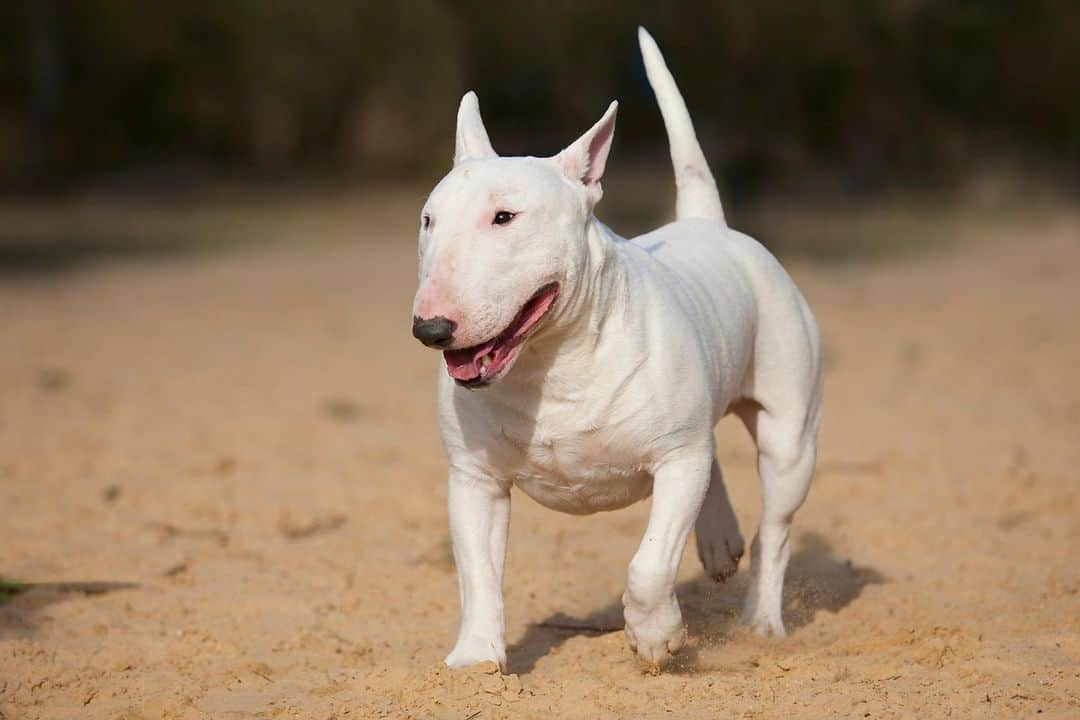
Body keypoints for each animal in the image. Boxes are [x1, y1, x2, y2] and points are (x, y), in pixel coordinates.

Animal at [408, 26, 820, 669]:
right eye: (428, 220)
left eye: (505, 217)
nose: (430, 329)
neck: (551, 364)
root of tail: (708, 224)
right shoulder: (474, 478)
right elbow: (477, 573)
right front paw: (475, 660)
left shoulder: (676, 457)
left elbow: (649, 564)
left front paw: (656, 636)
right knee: (715, 462)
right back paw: (719, 541)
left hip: (788, 436)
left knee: (773, 528)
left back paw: (761, 620)